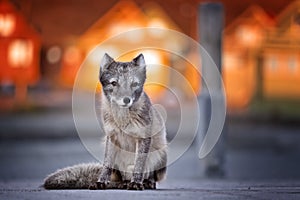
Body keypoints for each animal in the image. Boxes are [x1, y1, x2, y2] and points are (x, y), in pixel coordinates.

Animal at [43, 53, 168, 191]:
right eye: (114, 83)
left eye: (134, 84)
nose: (126, 100)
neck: (122, 119)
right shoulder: (111, 137)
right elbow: (107, 165)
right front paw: (101, 182)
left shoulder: (143, 138)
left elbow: (139, 165)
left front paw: (136, 183)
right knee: (120, 177)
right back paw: (123, 183)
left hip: (161, 154)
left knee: (151, 177)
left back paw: (146, 183)